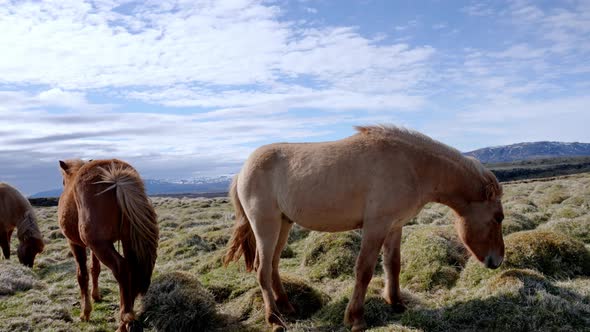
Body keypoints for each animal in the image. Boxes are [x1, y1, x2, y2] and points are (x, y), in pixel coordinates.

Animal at [58, 160, 160, 330]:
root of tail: (115, 179)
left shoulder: (75, 244)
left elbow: (82, 275)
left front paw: (85, 313)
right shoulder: (93, 248)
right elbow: (95, 269)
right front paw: (96, 296)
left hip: (101, 246)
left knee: (122, 269)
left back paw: (124, 322)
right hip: (127, 241)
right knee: (132, 271)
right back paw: (128, 320)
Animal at [224, 126, 506, 330]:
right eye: (498, 218)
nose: (497, 261)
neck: (411, 165)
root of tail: (241, 171)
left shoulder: (394, 226)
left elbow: (393, 265)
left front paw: (396, 303)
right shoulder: (375, 226)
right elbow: (364, 271)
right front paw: (356, 318)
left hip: (283, 225)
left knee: (272, 266)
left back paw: (287, 308)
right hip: (266, 226)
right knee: (262, 269)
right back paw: (274, 319)